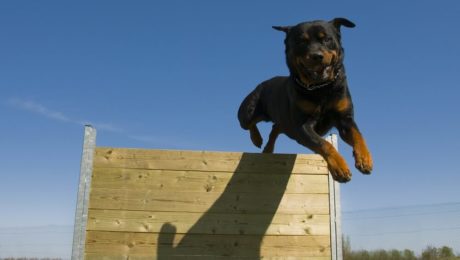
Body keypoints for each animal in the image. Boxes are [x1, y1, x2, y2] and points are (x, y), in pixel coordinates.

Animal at [239, 18, 372, 182]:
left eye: (326, 39)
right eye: (301, 41)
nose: (317, 55)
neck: (321, 88)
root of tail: (261, 84)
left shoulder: (344, 119)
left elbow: (358, 136)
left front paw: (365, 159)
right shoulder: (302, 125)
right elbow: (324, 143)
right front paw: (340, 166)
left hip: (284, 122)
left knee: (276, 128)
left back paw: (268, 149)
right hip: (249, 110)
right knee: (249, 124)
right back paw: (256, 139)